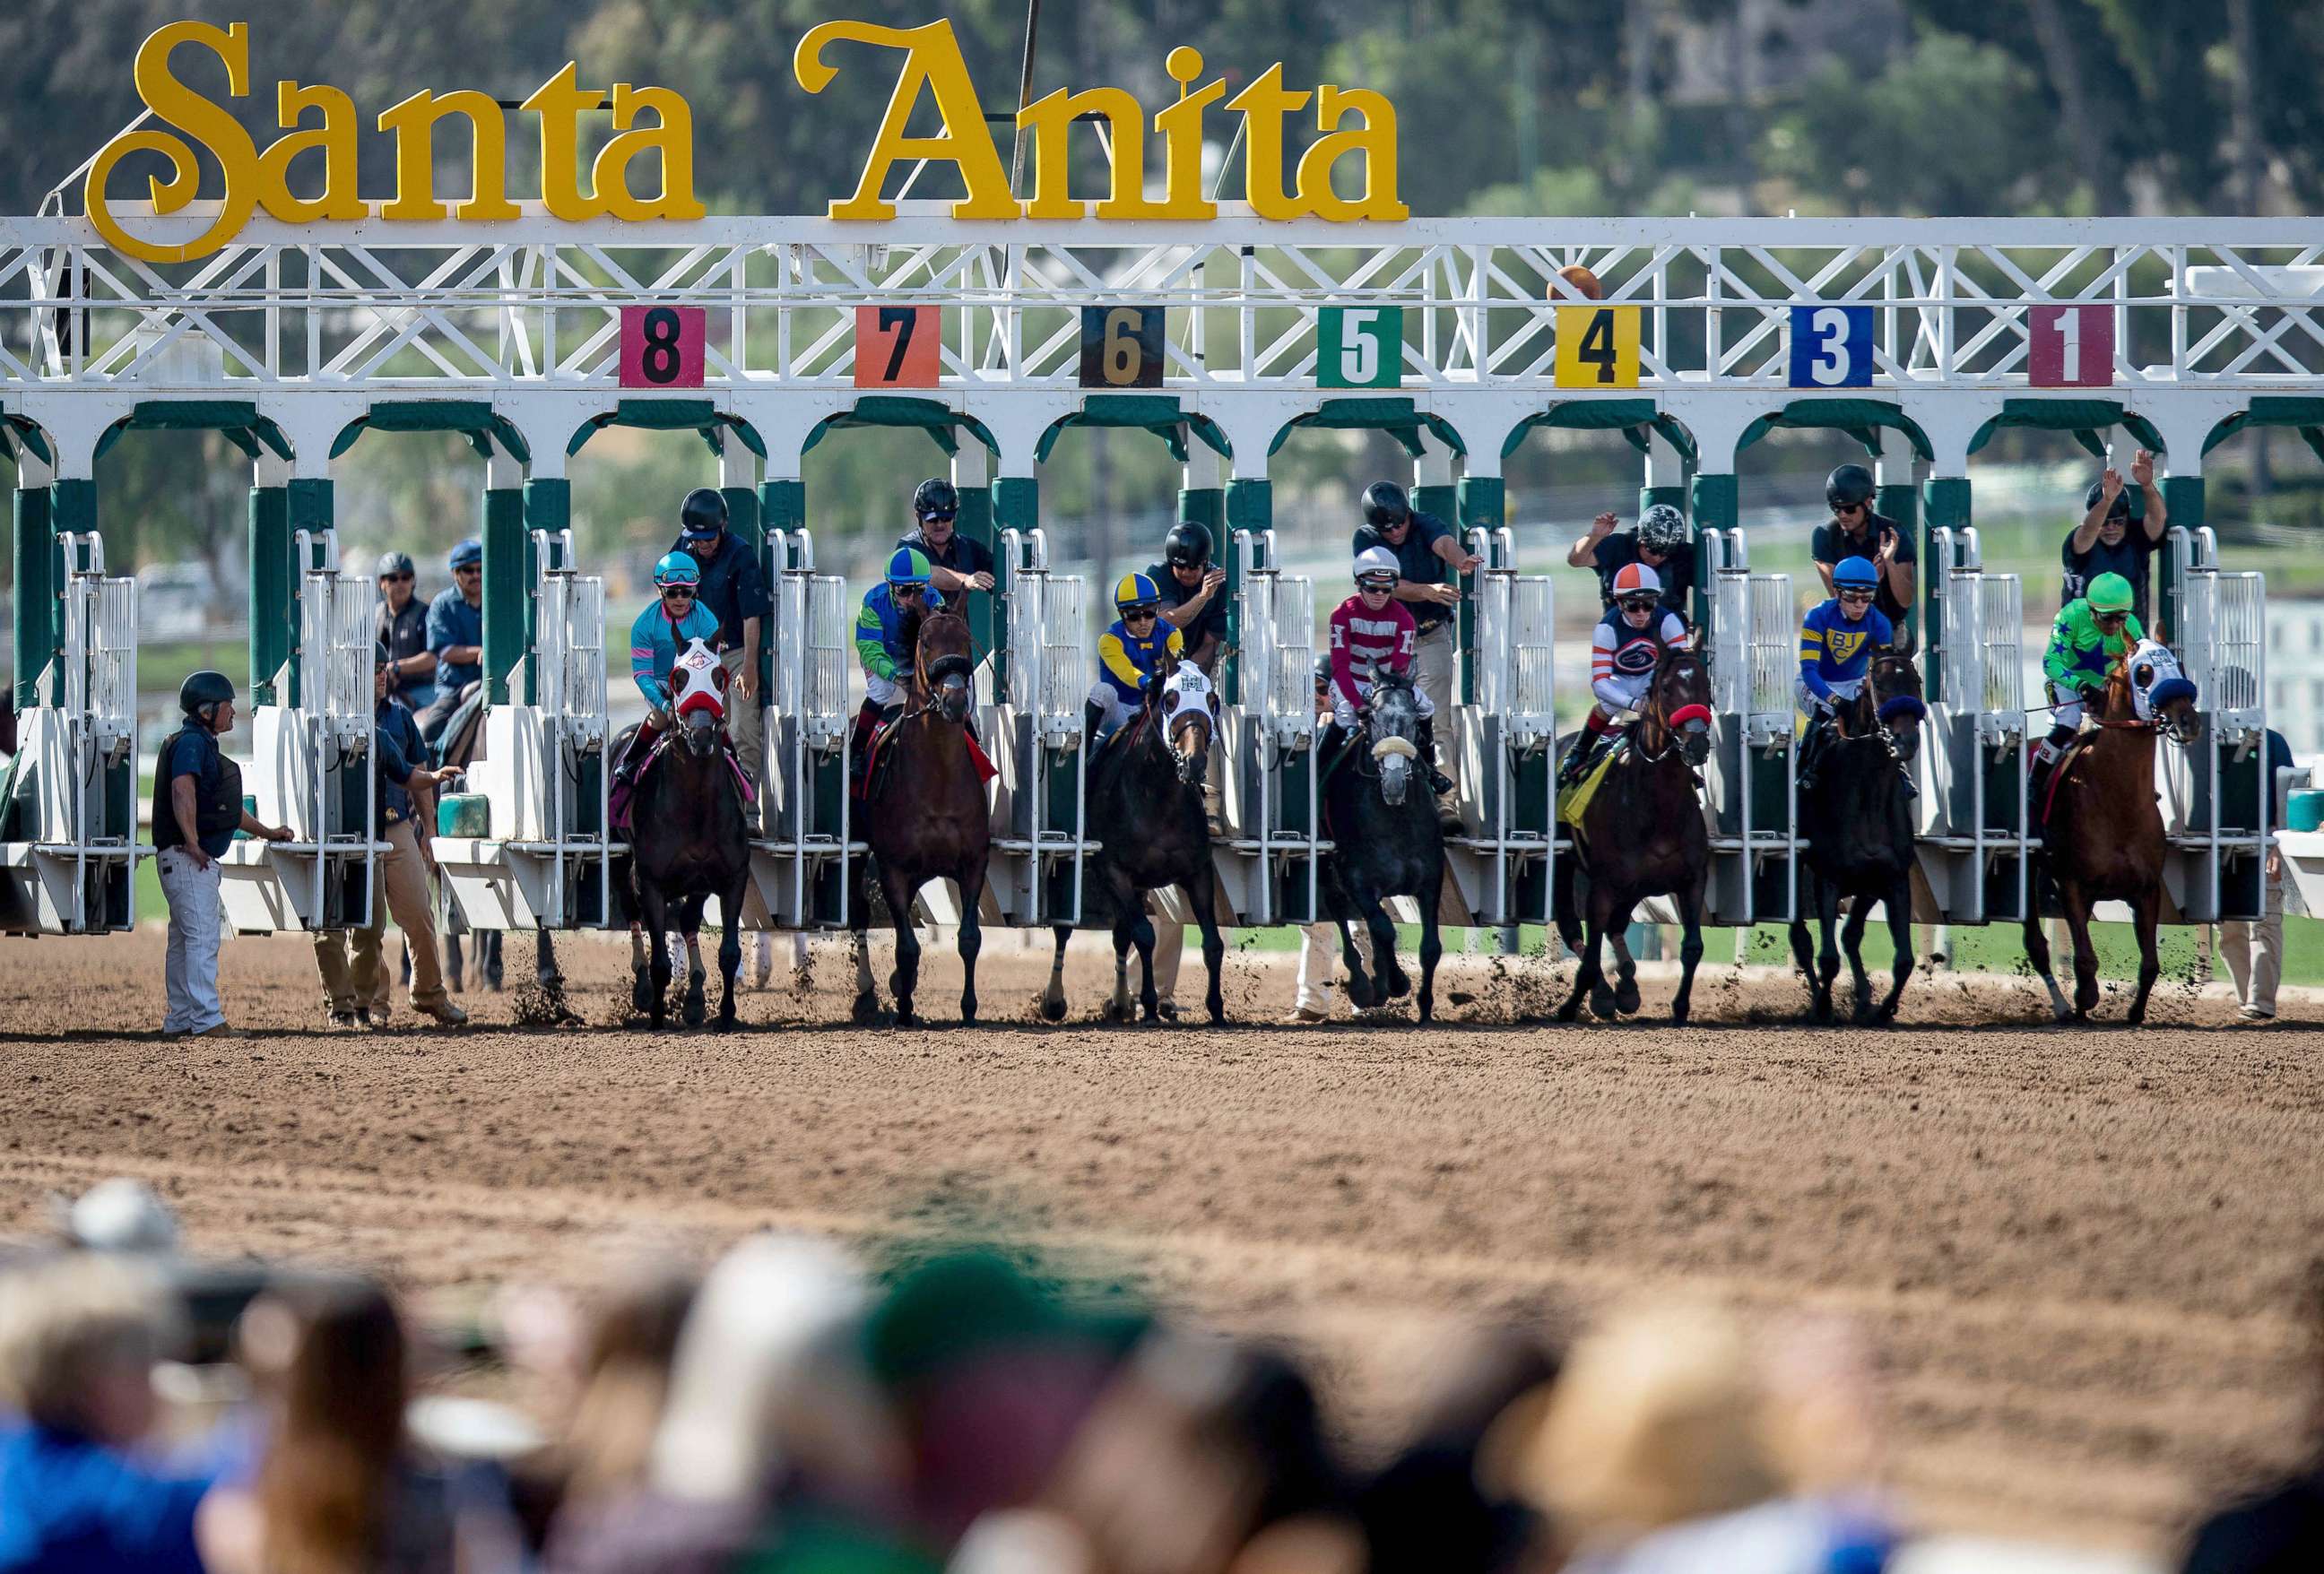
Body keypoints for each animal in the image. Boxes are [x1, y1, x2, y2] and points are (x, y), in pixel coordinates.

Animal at [850, 609, 985, 1023]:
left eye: (965, 639)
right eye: (925, 643)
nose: (954, 700)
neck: (938, 781)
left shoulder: (974, 864)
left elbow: (969, 939)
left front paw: (969, 1008)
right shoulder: (893, 868)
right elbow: (907, 946)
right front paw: (905, 1010)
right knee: (860, 915)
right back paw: (868, 995)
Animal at [1552, 641, 1720, 1023]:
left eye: (1705, 685)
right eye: (1666, 689)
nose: (1695, 744)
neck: (1658, 806)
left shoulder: (1693, 880)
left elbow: (1693, 947)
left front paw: (1680, 1007)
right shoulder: (1601, 885)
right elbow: (1590, 955)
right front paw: (1575, 1004)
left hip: (1633, 886)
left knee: (1614, 927)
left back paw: (1627, 987)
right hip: (1566, 867)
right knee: (1575, 928)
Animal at [1794, 646, 1924, 1023]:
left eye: (1916, 680)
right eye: (1879, 684)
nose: (1906, 740)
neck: (1868, 795)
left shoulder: (1893, 879)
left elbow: (1904, 960)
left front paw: (1883, 1009)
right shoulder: (1826, 878)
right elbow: (1827, 958)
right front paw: (1823, 1007)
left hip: (1867, 886)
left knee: (1851, 935)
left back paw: (1864, 997)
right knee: (1802, 940)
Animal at [2035, 636, 2193, 1018]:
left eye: (2177, 665)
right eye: (2145, 673)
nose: (2189, 721)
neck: (2116, 802)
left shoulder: (2147, 890)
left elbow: (2150, 964)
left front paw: (2135, 1012)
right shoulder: (2070, 885)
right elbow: (2085, 960)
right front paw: (2084, 1000)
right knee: (2035, 945)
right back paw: (2063, 1006)